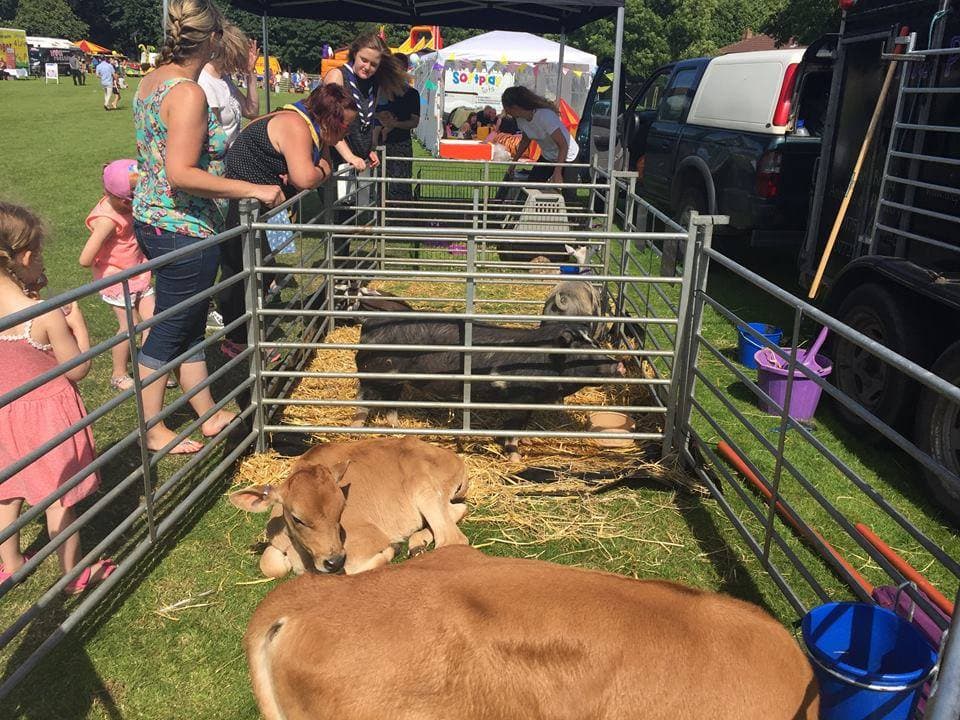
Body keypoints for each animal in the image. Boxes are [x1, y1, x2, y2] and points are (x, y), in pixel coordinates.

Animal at [229, 437, 469, 576]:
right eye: (297, 518)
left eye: (341, 510)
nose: (334, 561)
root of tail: (455, 458)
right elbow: (270, 566)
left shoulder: (368, 538)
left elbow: (354, 568)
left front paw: (392, 549)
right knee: (458, 510)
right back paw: (417, 545)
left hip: (422, 486)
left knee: (452, 537)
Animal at [352, 319, 626, 460]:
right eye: (584, 354)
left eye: (597, 343)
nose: (620, 364)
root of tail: (370, 326)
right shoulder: (518, 399)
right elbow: (513, 429)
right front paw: (515, 459)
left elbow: (519, 427)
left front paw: (523, 442)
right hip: (374, 376)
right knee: (362, 401)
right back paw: (356, 431)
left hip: (394, 381)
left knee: (391, 403)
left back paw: (396, 428)